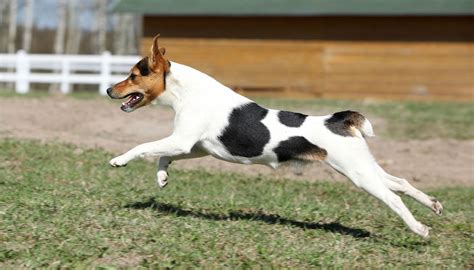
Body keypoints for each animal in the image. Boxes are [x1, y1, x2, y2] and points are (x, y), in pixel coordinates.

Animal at [106, 34, 440, 238]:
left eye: (133, 76)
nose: (109, 90)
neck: (187, 92)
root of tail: (339, 119)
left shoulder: (183, 140)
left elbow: (143, 146)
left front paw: (119, 160)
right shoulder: (197, 146)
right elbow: (162, 155)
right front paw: (162, 177)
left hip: (357, 173)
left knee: (393, 197)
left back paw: (420, 229)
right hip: (363, 166)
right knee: (401, 183)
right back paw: (434, 205)